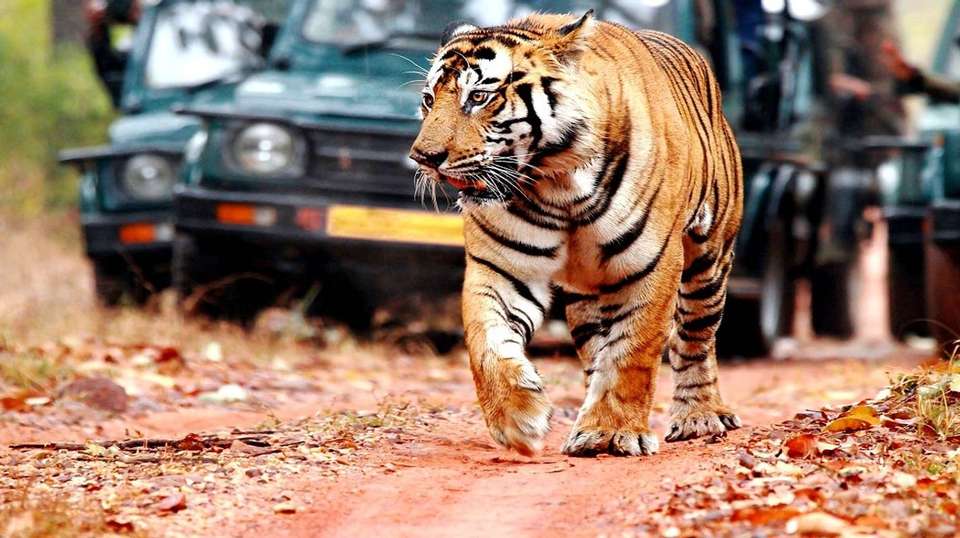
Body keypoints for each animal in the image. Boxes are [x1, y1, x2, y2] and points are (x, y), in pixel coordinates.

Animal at [409, 10, 743, 457]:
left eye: (478, 97)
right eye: (429, 99)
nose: (423, 157)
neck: (555, 183)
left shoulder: (651, 264)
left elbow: (633, 350)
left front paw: (612, 432)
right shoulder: (501, 268)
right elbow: (487, 343)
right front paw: (518, 418)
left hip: (709, 260)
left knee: (695, 339)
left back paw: (700, 417)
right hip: (587, 299)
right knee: (597, 351)